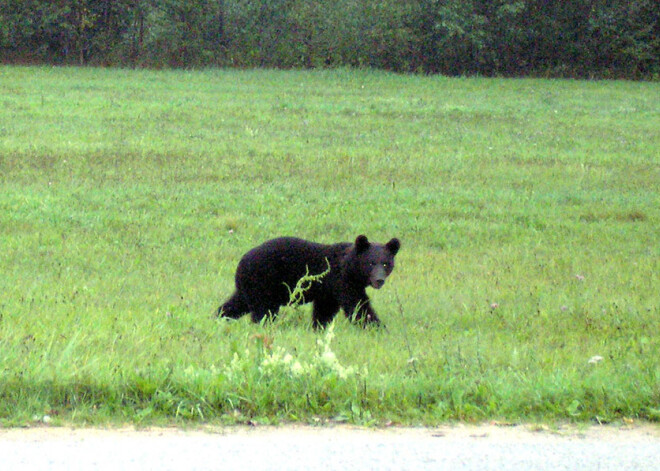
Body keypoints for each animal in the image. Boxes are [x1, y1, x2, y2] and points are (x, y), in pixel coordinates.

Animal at [219, 235, 400, 328]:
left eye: (386, 263)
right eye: (371, 263)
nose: (379, 280)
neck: (350, 267)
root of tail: (241, 262)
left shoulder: (328, 291)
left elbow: (324, 310)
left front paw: (319, 327)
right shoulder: (341, 280)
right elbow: (357, 305)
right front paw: (377, 326)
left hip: (248, 286)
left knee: (236, 304)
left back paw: (219, 317)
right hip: (263, 282)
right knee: (264, 311)